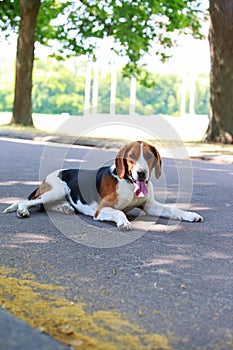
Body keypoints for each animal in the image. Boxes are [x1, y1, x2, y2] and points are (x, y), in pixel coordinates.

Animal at [4, 141, 204, 228]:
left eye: (148, 156)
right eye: (132, 156)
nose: (141, 173)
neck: (129, 184)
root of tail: (47, 177)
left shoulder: (150, 206)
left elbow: (174, 209)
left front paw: (190, 215)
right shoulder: (101, 209)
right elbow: (118, 212)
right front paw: (123, 221)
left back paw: (65, 208)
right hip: (55, 190)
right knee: (26, 202)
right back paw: (23, 211)